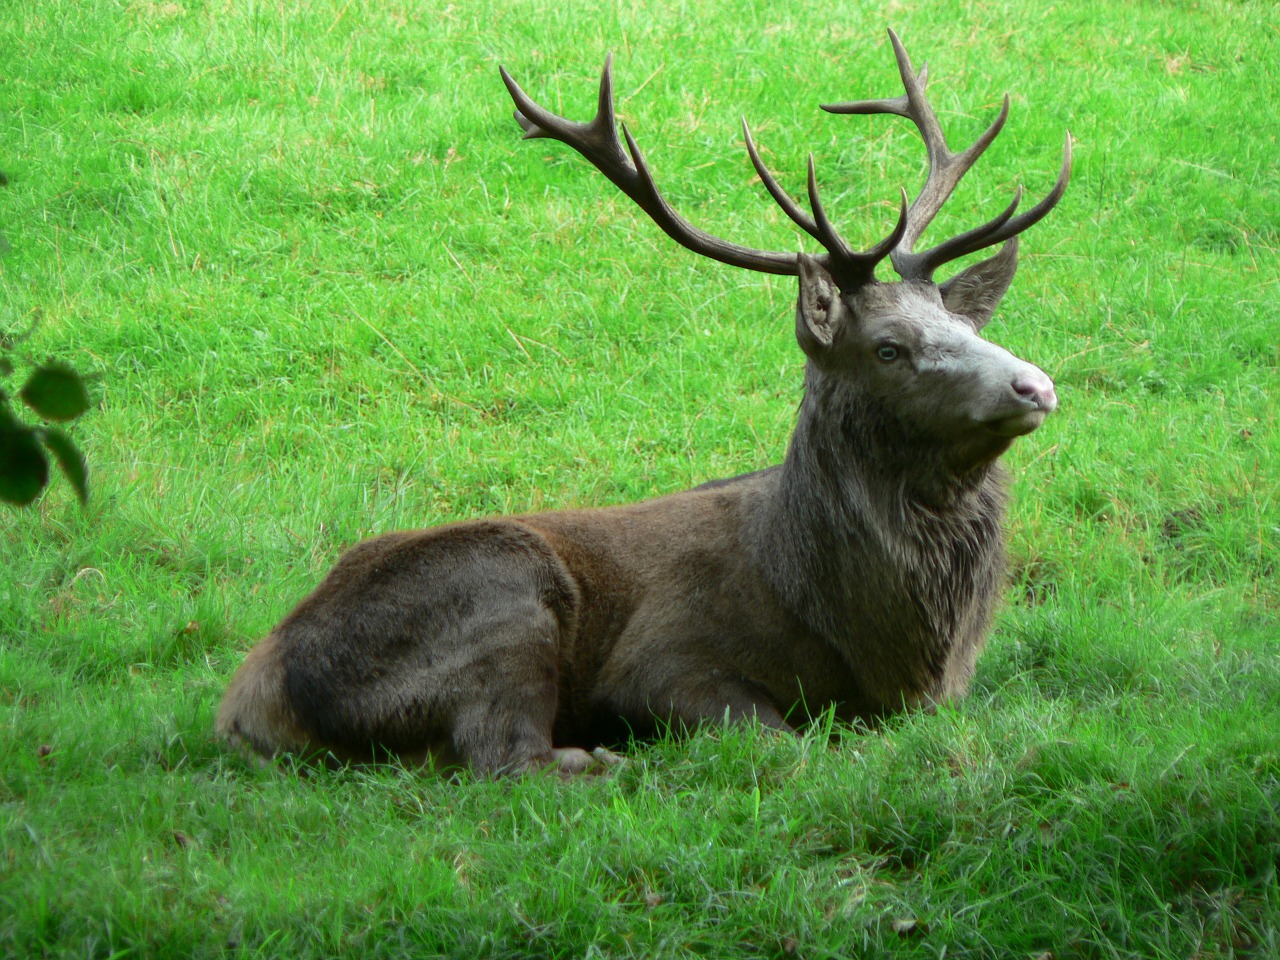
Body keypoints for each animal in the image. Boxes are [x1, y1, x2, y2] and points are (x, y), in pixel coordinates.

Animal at [217, 30, 1070, 778]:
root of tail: (246, 701)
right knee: (504, 757)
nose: (1034, 384)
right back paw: (604, 760)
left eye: (967, 325)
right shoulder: (661, 658)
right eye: (889, 347)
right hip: (500, 593)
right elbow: (786, 741)